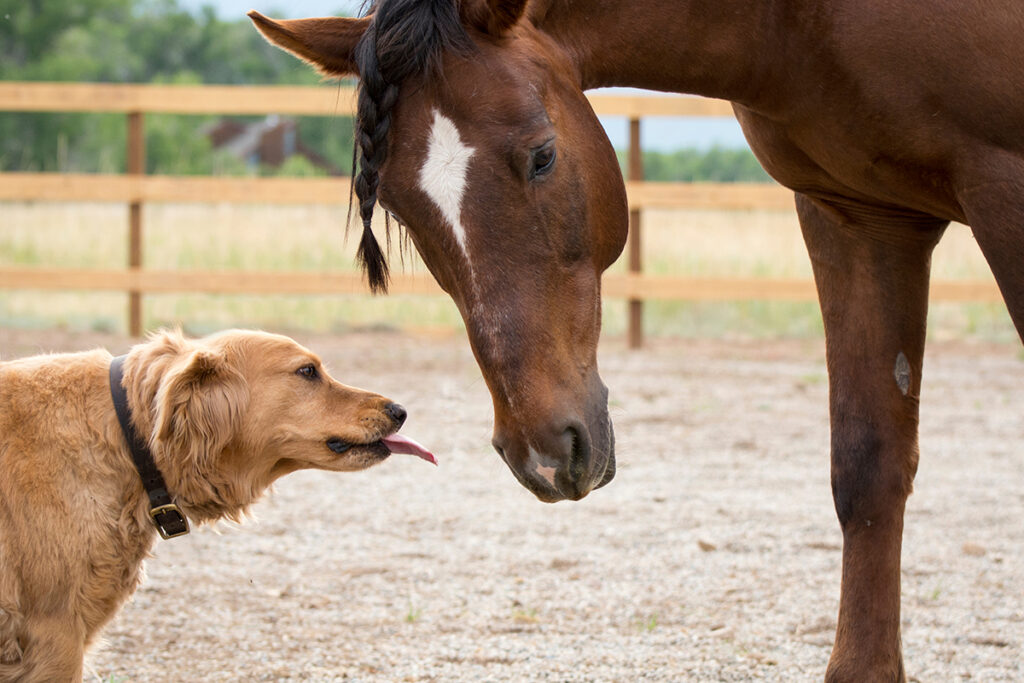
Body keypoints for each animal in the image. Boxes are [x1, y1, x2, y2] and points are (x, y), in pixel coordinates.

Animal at [247, 2, 1024, 679]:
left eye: (542, 157)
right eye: (402, 206)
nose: (543, 450)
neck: (803, 19)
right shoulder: (856, 215)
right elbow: (867, 468)